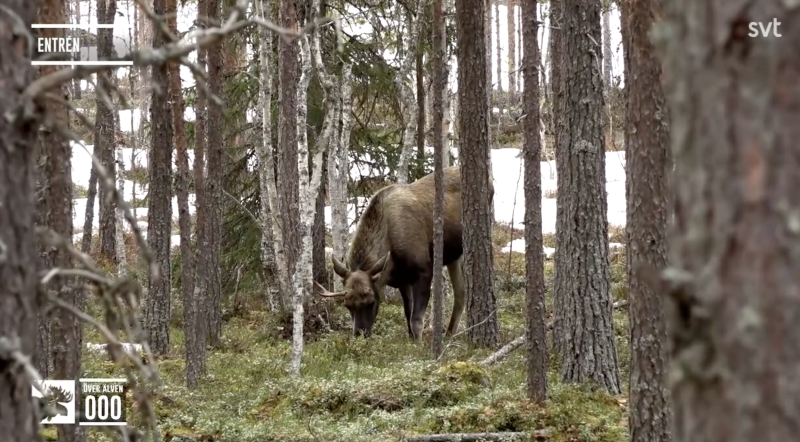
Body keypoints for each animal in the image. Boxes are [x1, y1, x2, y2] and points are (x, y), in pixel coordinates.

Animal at [314, 166, 494, 338]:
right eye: (347, 305)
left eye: (371, 302)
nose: (360, 333)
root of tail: (491, 181)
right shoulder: (402, 281)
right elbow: (408, 317)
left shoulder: (424, 270)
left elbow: (416, 320)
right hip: (453, 256)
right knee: (460, 292)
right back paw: (449, 335)